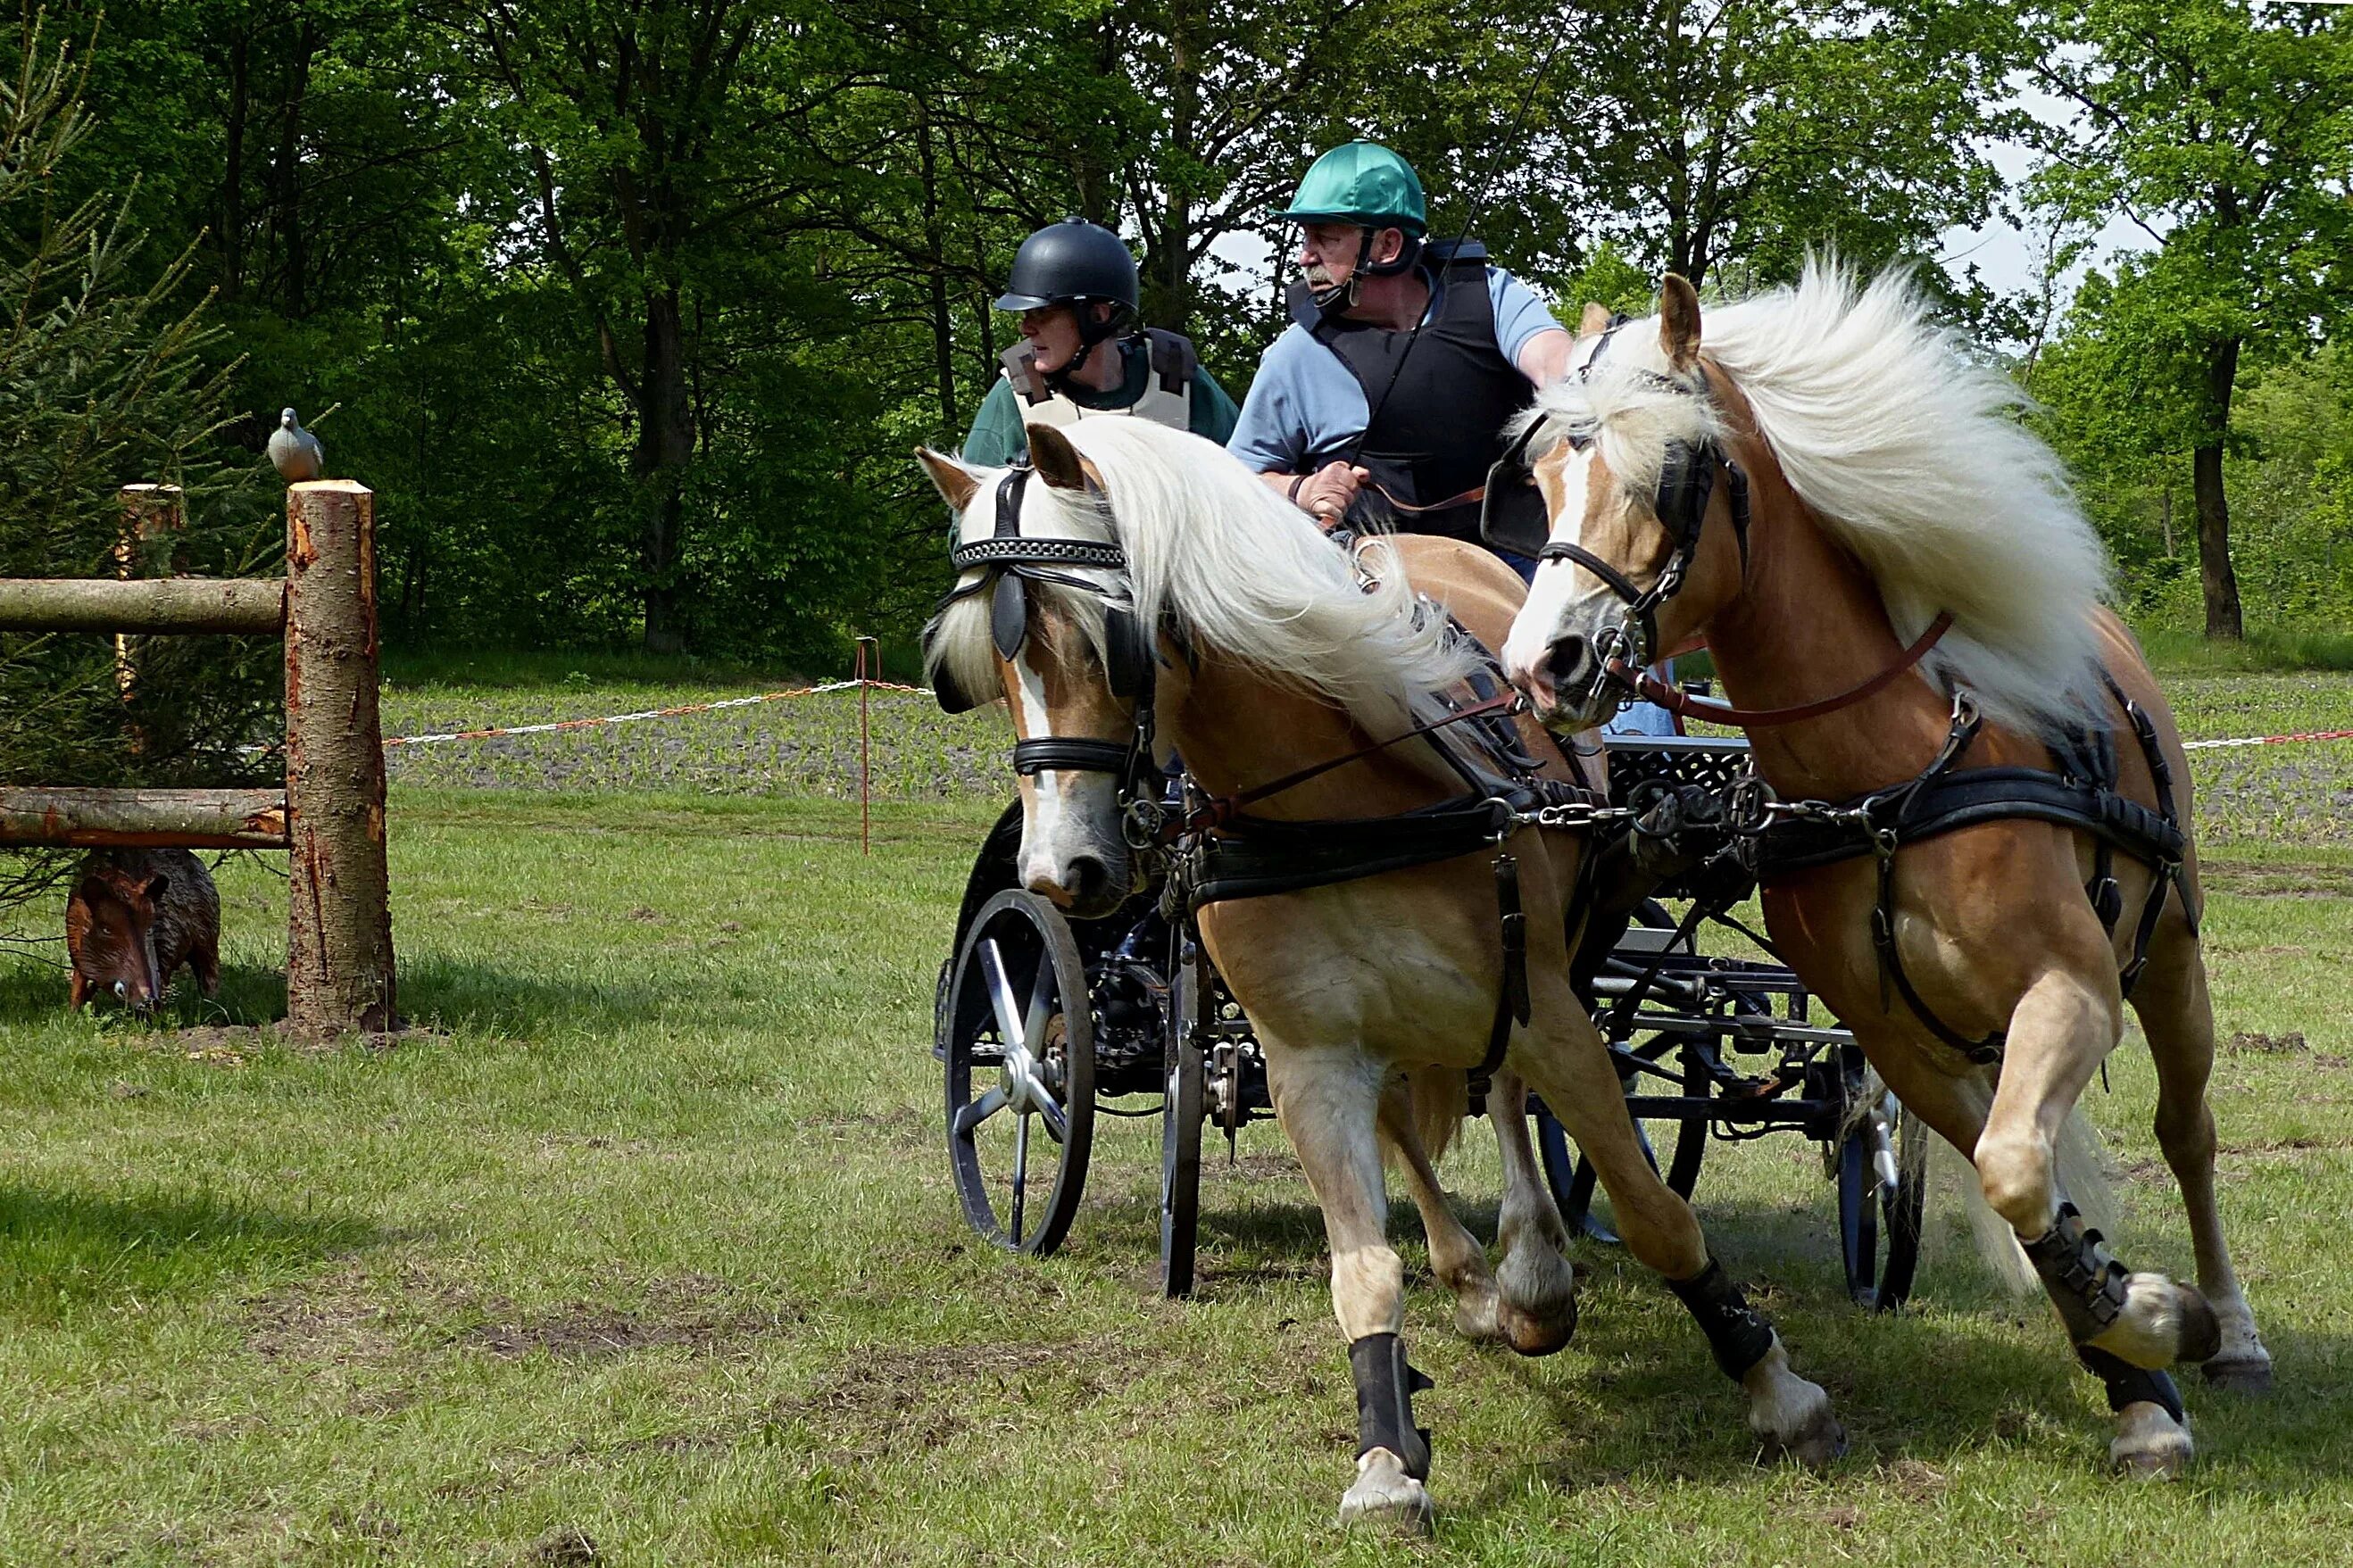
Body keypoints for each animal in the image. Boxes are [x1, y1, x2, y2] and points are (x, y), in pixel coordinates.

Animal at [908, 420, 1844, 1532]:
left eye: (1104, 634)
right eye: (993, 661)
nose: (1061, 872)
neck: (1334, 803)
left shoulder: (1547, 1008)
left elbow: (1651, 1208)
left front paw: (1772, 1383)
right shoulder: (1308, 1056)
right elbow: (1361, 1268)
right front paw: (1386, 1454)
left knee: (1507, 1098)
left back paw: (1532, 1266)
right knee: (1410, 1123)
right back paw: (1480, 1279)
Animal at [1496, 263, 2268, 1476]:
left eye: (1670, 471)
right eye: (1539, 474)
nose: (1541, 663)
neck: (1886, 777)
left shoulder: (2074, 987)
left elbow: (2019, 1166)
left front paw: (2156, 1325)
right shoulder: (1897, 1038)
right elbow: (2015, 1180)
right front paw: (2130, 1355)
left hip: (2170, 955)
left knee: (2184, 1132)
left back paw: (2230, 1328)